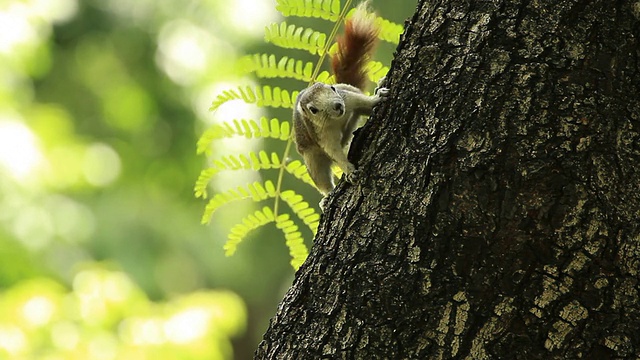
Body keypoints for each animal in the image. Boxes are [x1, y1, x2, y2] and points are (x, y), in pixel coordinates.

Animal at [292, 2, 388, 208]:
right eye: (313, 110)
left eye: (332, 88)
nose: (337, 106)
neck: (337, 119)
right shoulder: (324, 136)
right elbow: (335, 152)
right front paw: (349, 170)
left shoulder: (349, 99)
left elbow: (364, 102)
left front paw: (378, 98)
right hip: (312, 159)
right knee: (322, 177)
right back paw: (326, 198)